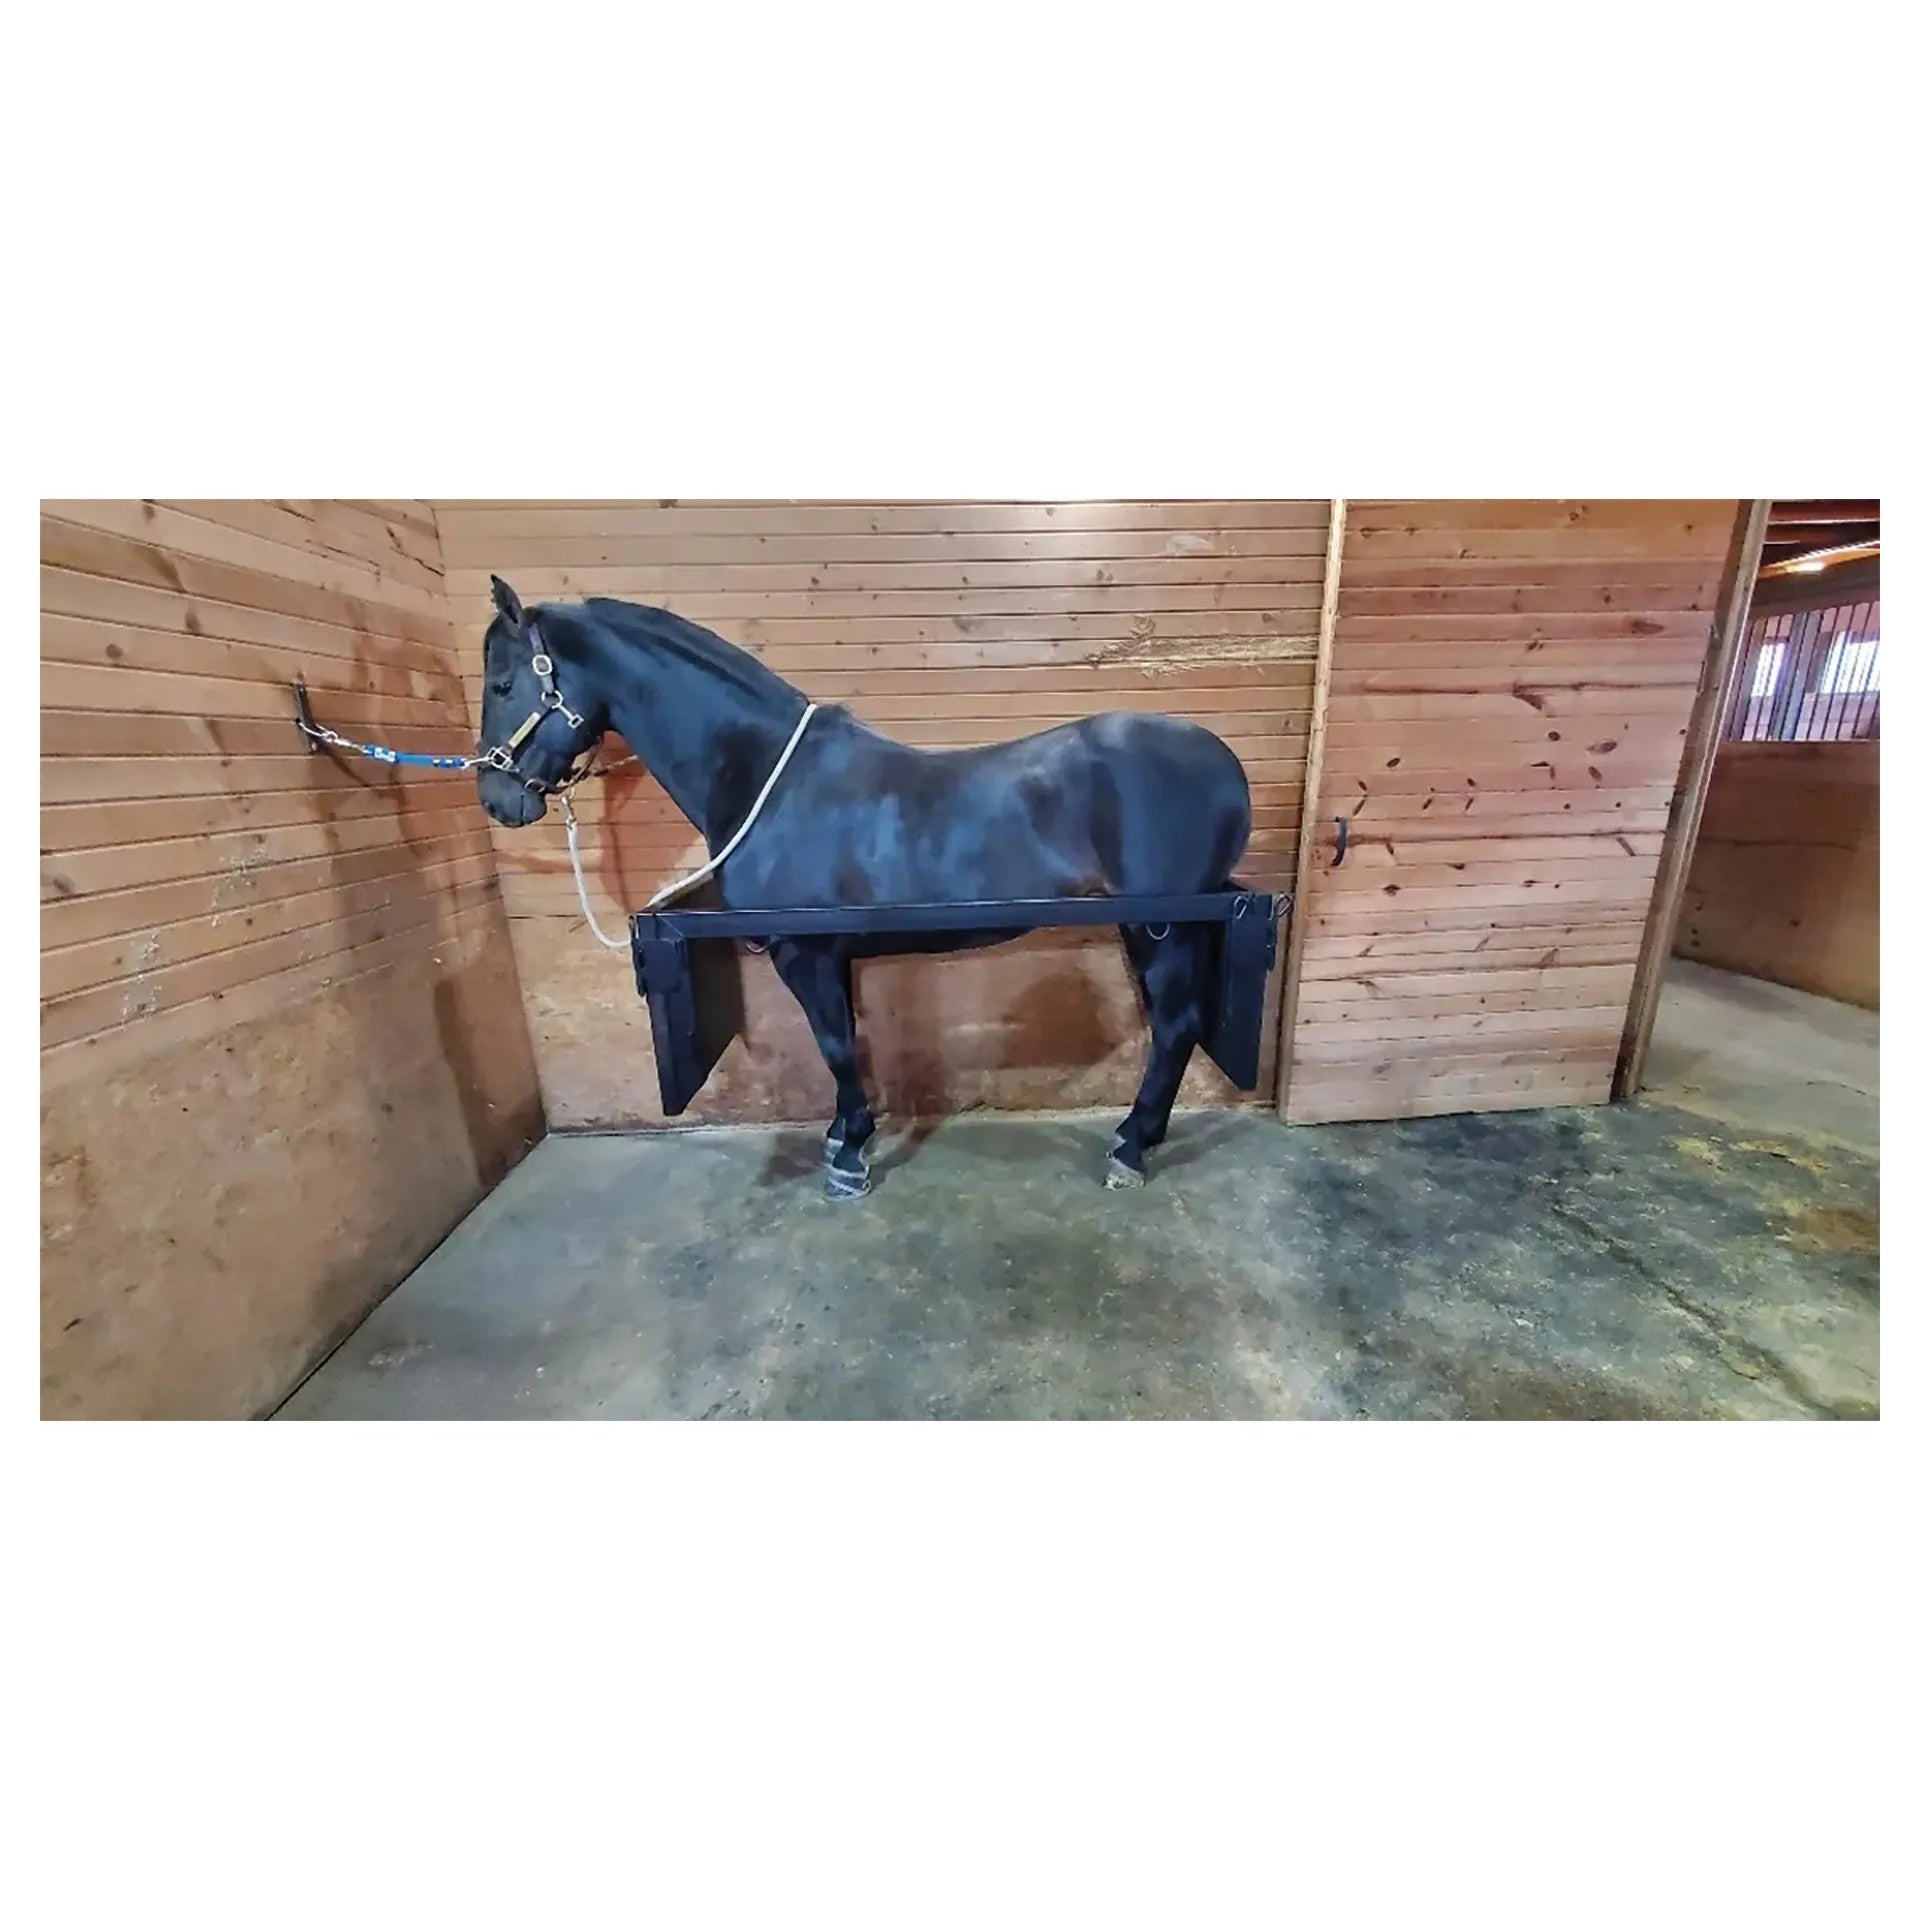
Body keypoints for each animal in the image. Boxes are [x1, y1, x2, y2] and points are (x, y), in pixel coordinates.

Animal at [475, 575, 1253, 1197]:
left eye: (506, 685)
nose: (497, 800)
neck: (769, 777)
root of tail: (1225, 764)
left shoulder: (806, 953)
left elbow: (835, 1046)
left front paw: (848, 1154)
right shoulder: (829, 954)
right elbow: (847, 1039)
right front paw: (847, 1134)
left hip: (1163, 928)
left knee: (1175, 1027)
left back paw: (1130, 1149)